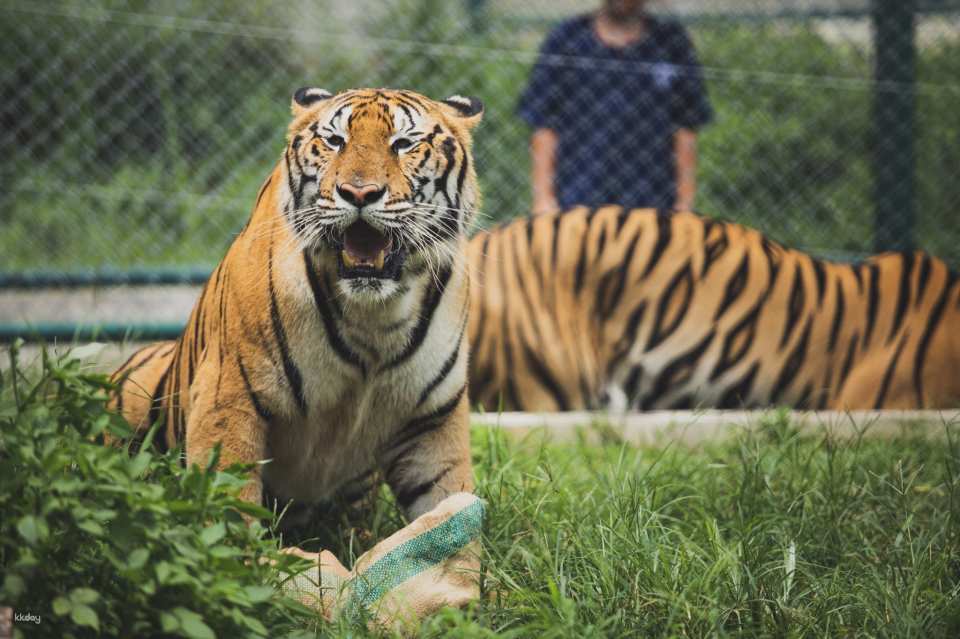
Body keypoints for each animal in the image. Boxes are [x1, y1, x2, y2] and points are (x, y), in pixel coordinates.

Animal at [111, 87, 484, 525]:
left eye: (403, 143)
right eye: (336, 141)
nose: (359, 193)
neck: (375, 315)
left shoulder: (433, 419)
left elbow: (452, 505)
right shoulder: (230, 395)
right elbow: (227, 505)